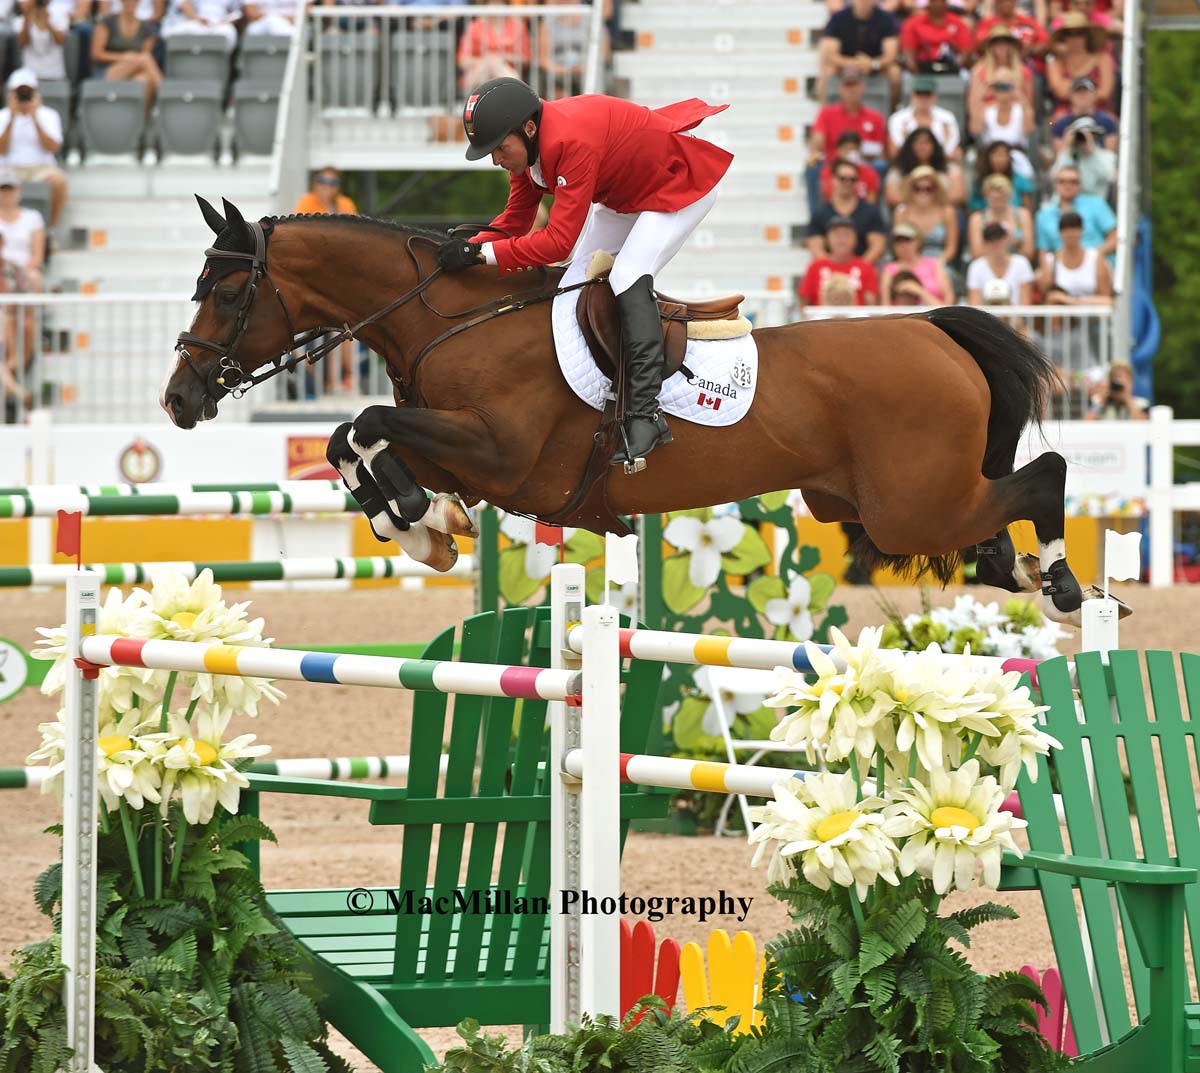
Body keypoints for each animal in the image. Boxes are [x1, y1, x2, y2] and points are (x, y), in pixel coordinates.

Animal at [162, 196, 1123, 624]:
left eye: (228, 293)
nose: (177, 399)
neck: (453, 322)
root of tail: (932, 329)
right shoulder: (470, 455)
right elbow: (347, 440)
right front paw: (423, 523)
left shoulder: (503, 452)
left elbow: (364, 424)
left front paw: (420, 520)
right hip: (874, 504)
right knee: (1000, 511)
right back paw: (1019, 567)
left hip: (907, 505)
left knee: (1044, 473)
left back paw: (1063, 579)